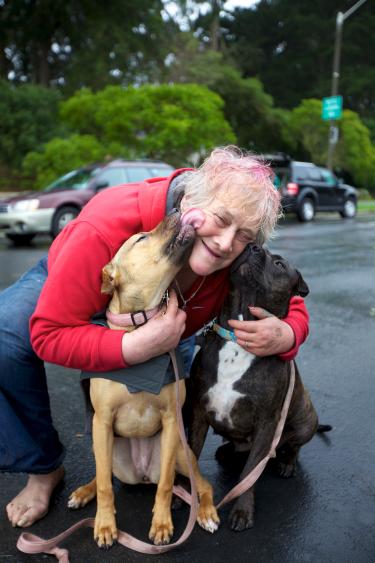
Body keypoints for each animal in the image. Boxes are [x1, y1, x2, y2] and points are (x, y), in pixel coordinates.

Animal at [70, 214, 220, 548]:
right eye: (140, 238)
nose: (176, 212)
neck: (139, 324)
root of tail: (140, 473)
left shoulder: (171, 421)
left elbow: (165, 485)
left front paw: (162, 524)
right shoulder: (102, 421)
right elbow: (105, 486)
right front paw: (104, 525)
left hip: (180, 454)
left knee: (201, 485)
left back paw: (205, 513)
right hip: (108, 449)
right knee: (103, 475)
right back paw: (83, 492)